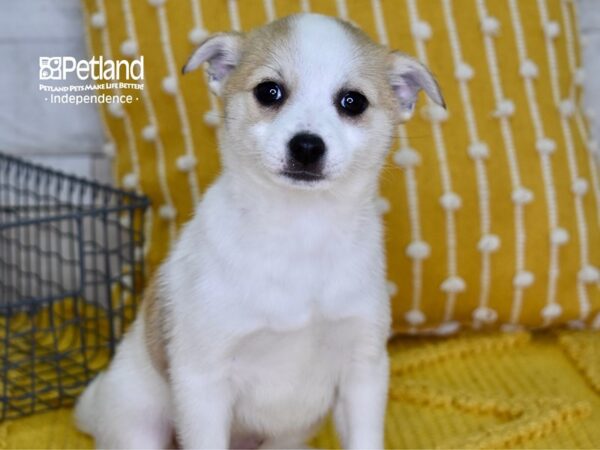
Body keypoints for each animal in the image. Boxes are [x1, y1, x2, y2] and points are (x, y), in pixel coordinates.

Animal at [74, 12, 440, 448]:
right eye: (269, 92)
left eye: (353, 102)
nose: (306, 146)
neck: (301, 229)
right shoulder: (204, 380)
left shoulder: (362, 370)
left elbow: (364, 437)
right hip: (138, 423)